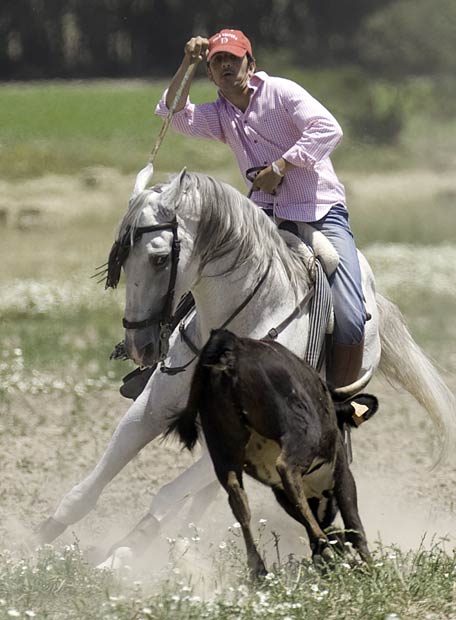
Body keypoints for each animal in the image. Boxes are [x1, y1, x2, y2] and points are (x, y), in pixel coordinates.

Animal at [36, 168, 456, 560]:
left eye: (159, 258)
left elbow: (166, 496)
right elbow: (90, 486)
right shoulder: (151, 409)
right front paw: (39, 541)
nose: (138, 344)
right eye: (120, 258)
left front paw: (124, 555)